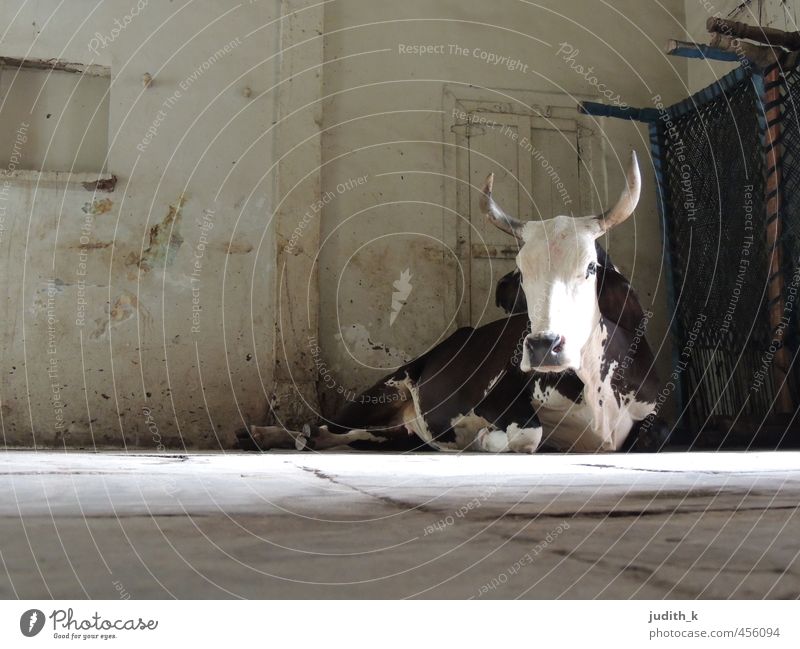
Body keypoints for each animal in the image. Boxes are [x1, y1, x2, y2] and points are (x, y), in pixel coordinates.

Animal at [242, 151, 668, 456]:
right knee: (325, 427)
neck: (593, 389)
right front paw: (480, 441)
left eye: (591, 267)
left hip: (394, 431)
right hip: (384, 389)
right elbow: (528, 434)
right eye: (521, 271)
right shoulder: (499, 395)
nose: (543, 346)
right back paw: (264, 434)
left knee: (350, 436)